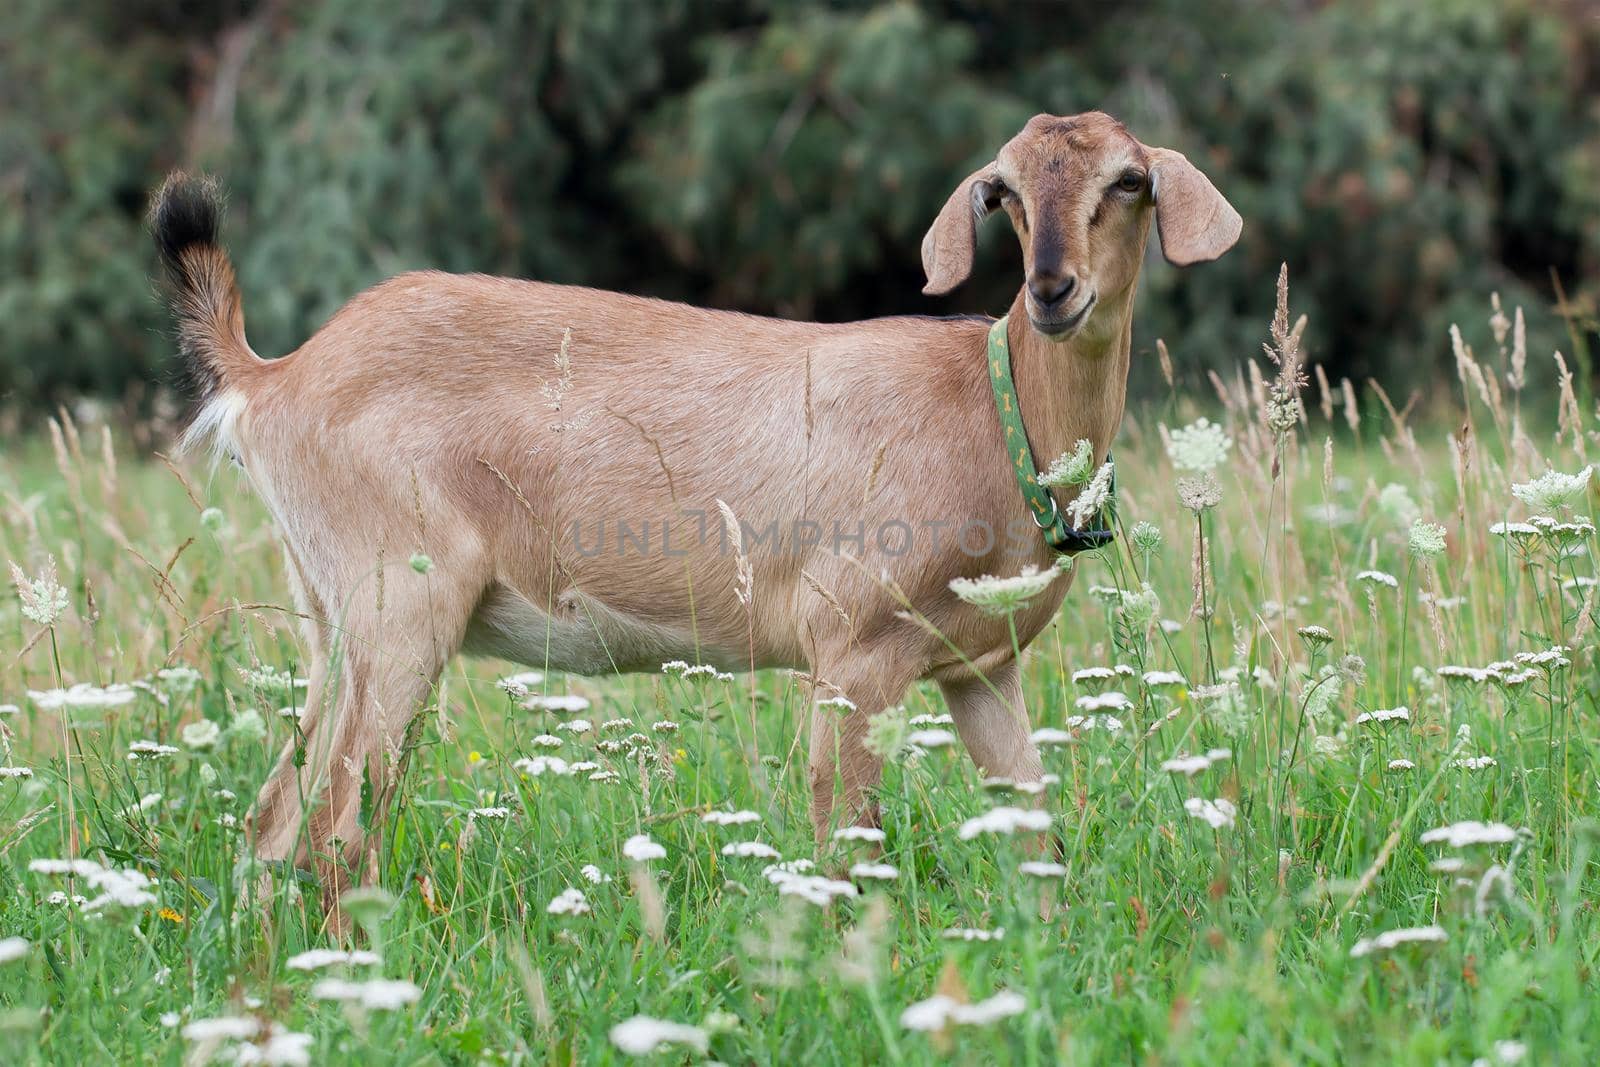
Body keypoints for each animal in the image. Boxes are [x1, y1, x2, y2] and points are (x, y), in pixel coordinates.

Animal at [150, 110, 1241, 921]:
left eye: (1129, 180)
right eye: (1002, 191)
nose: (1053, 289)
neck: (987, 409)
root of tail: (273, 377)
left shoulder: (979, 665)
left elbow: (1035, 834)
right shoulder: (853, 645)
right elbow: (843, 844)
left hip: (334, 621)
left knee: (272, 821)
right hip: (401, 606)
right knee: (336, 830)